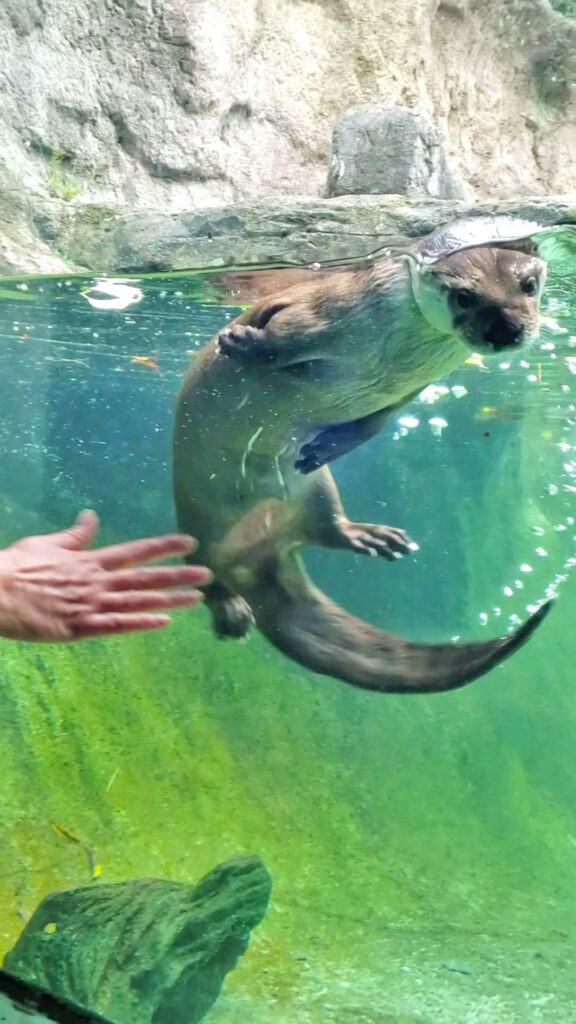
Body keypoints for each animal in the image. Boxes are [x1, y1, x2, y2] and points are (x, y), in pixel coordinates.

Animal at [173, 231, 552, 694]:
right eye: (465, 296)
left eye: (528, 286)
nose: (506, 330)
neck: (400, 350)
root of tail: (263, 555)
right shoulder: (324, 310)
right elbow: (288, 337)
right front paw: (243, 344)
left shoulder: (417, 385)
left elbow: (380, 418)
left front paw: (331, 443)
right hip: (200, 523)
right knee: (201, 571)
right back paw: (231, 610)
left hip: (318, 488)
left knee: (326, 526)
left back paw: (371, 537)